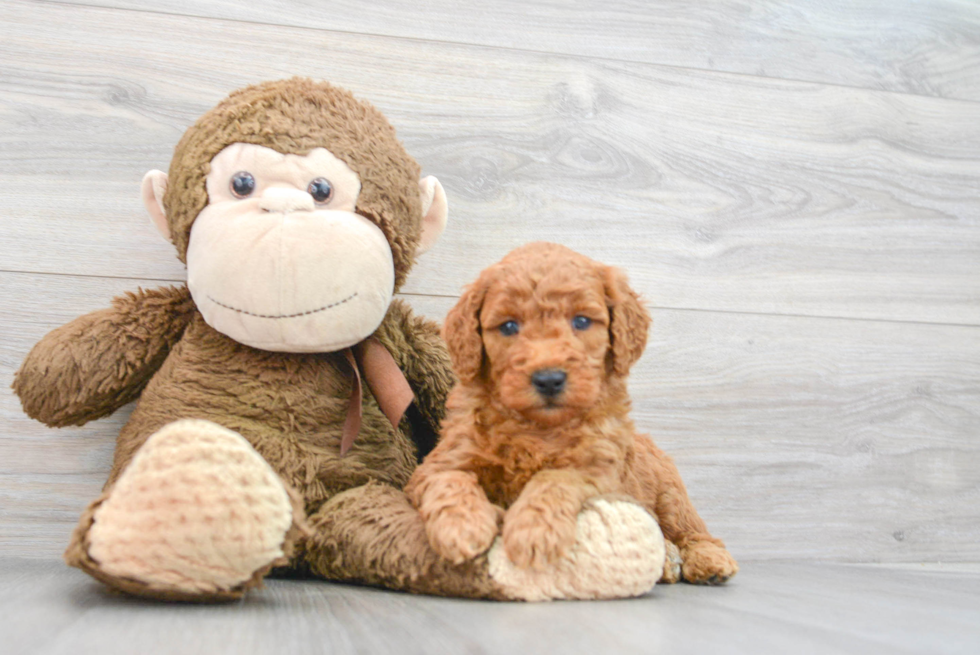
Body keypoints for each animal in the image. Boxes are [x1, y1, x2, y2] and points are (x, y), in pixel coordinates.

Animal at [404, 241, 736, 584]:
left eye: (581, 321)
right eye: (509, 326)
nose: (549, 378)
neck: (538, 428)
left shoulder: (598, 472)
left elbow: (554, 478)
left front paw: (533, 532)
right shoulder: (441, 461)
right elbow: (450, 480)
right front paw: (461, 527)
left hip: (670, 493)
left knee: (691, 528)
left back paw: (706, 559)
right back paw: (669, 559)